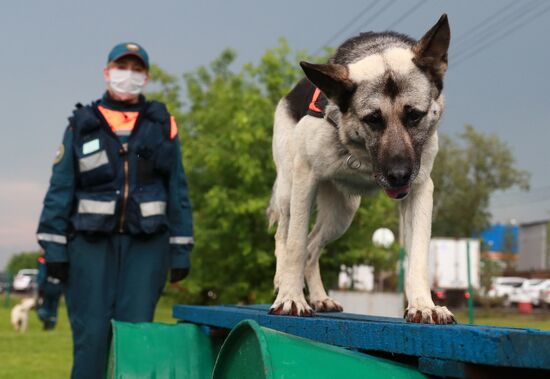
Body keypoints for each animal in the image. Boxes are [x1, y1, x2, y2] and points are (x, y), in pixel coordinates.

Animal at [266, 14, 452, 324]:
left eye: (414, 115)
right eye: (373, 119)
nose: (399, 176)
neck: (362, 154)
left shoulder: (421, 188)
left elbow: (417, 256)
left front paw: (423, 305)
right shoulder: (306, 176)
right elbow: (295, 245)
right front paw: (291, 298)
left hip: (341, 214)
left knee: (312, 249)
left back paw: (320, 297)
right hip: (289, 192)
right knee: (286, 236)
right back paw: (283, 283)